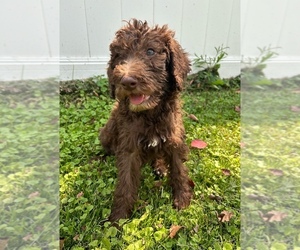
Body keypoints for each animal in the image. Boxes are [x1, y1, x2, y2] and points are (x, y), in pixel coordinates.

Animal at [101, 19, 193, 223]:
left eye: (150, 51)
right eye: (119, 56)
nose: (126, 81)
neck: (150, 112)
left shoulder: (174, 138)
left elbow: (178, 169)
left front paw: (182, 198)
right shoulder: (128, 146)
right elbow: (125, 181)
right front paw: (118, 217)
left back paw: (159, 167)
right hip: (106, 132)